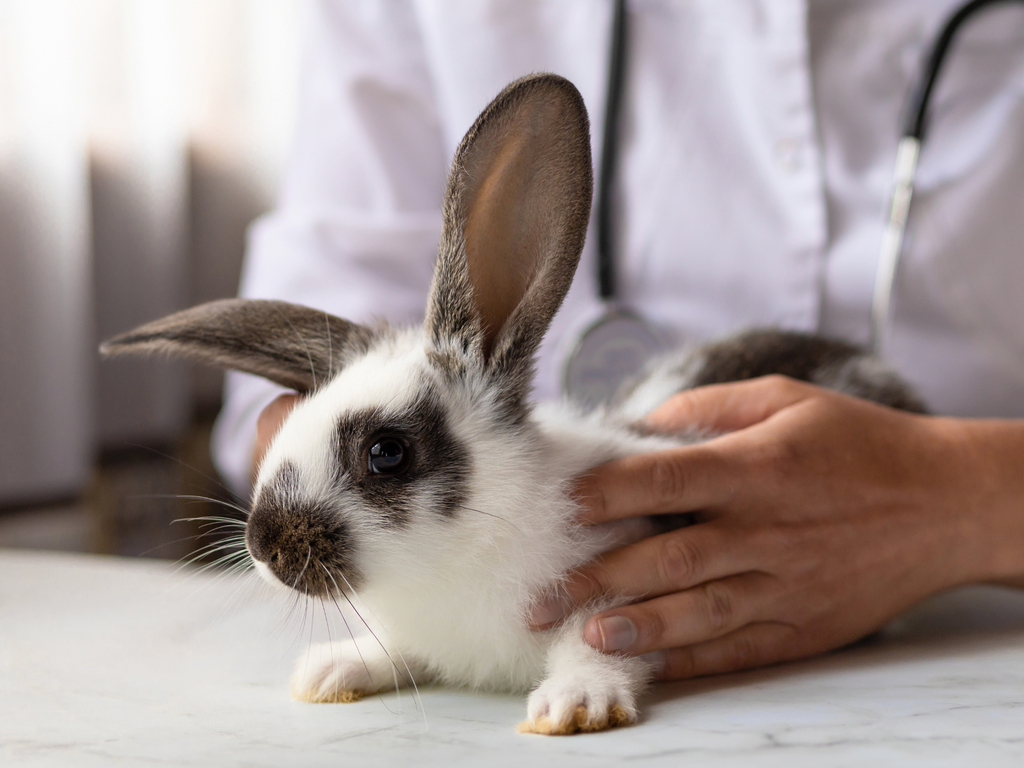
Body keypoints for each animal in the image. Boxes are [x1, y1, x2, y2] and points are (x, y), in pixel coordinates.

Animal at [99, 73, 925, 741]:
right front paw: (331, 671)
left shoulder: (629, 579)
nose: (265, 544)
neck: (454, 558)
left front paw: (575, 705)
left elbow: (598, 637)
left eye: (386, 452)